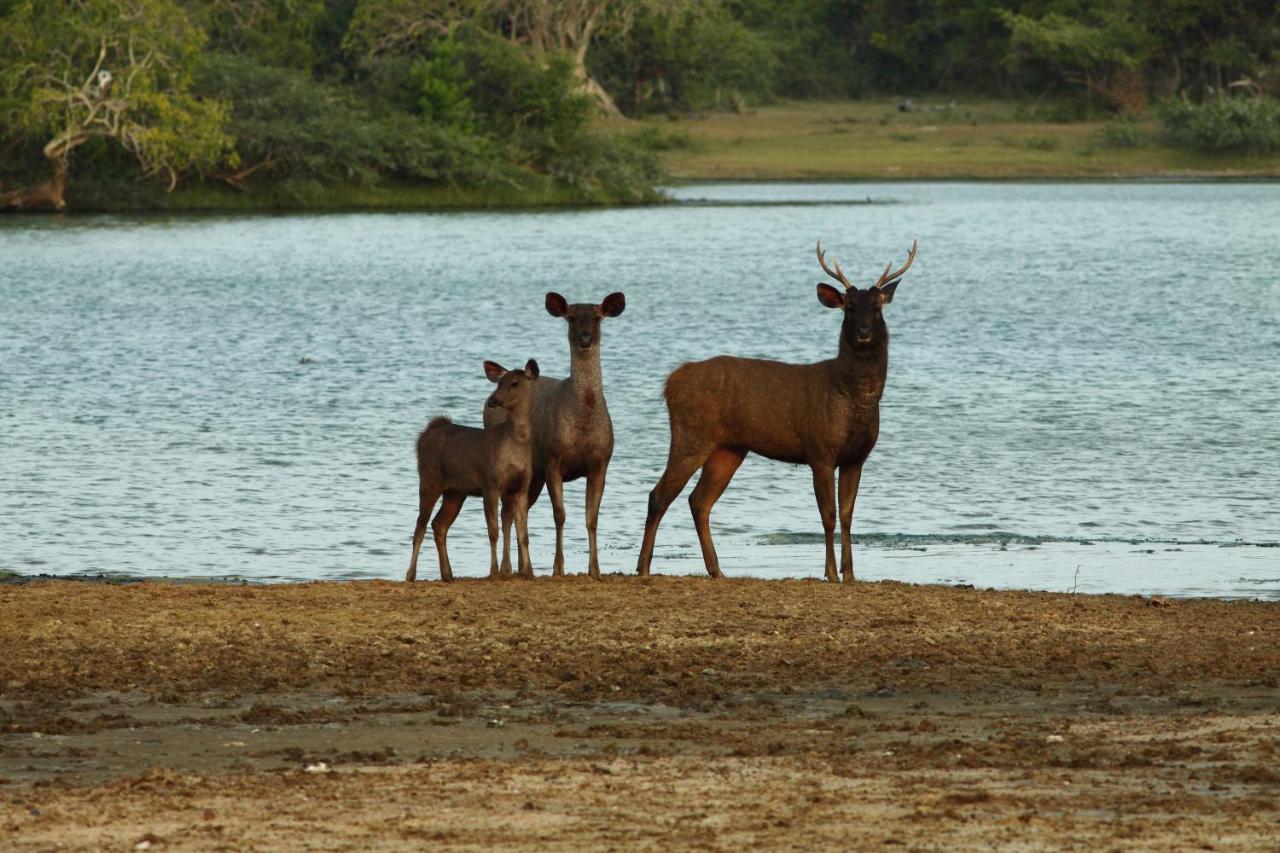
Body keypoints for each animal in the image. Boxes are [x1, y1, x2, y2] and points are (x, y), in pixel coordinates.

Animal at [409, 358, 540, 584]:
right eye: (499, 383)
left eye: (514, 383)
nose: (493, 400)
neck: (516, 446)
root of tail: (426, 434)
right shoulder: (490, 483)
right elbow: (493, 531)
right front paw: (494, 572)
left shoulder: (521, 487)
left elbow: (523, 534)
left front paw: (530, 573)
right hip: (429, 478)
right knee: (420, 525)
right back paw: (411, 574)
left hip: (455, 491)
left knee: (438, 525)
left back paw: (448, 574)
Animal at [483, 292, 624, 578]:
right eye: (570, 317)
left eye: (597, 317)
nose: (585, 339)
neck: (583, 422)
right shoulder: (553, 460)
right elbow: (559, 514)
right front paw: (558, 567)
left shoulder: (601, 462)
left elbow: (592, 518)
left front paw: (595, 569)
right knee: (507, 512)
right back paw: (507, 568)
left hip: (532, 477)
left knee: (519, 510)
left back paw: (519, 567)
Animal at [634, 242, 916, 581]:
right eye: (848, 306)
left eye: (877, 307)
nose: (863, 331)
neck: (850, 398)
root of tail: (671, 382)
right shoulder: (819, 451)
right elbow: (828, 515)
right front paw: (831, 573)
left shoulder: (856, 458)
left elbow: (848, 515)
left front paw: (850, 574)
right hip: (691, 435)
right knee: (659, 495)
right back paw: (644, 567)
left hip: (729, 448)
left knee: (699, 500)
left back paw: (717, 569)